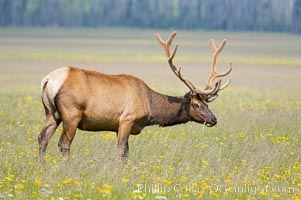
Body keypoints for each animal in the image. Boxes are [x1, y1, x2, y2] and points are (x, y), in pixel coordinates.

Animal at [38, 31, 232, 161]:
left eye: (208, 104)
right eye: (196, 105)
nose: (213, 119)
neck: (150, 107)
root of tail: (48, 80)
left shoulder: (121, 126)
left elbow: (126, 153)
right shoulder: (126, 119)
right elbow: (121, 151)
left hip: (51, 113)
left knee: (42, 138)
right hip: (71, 113)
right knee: (64, 143)